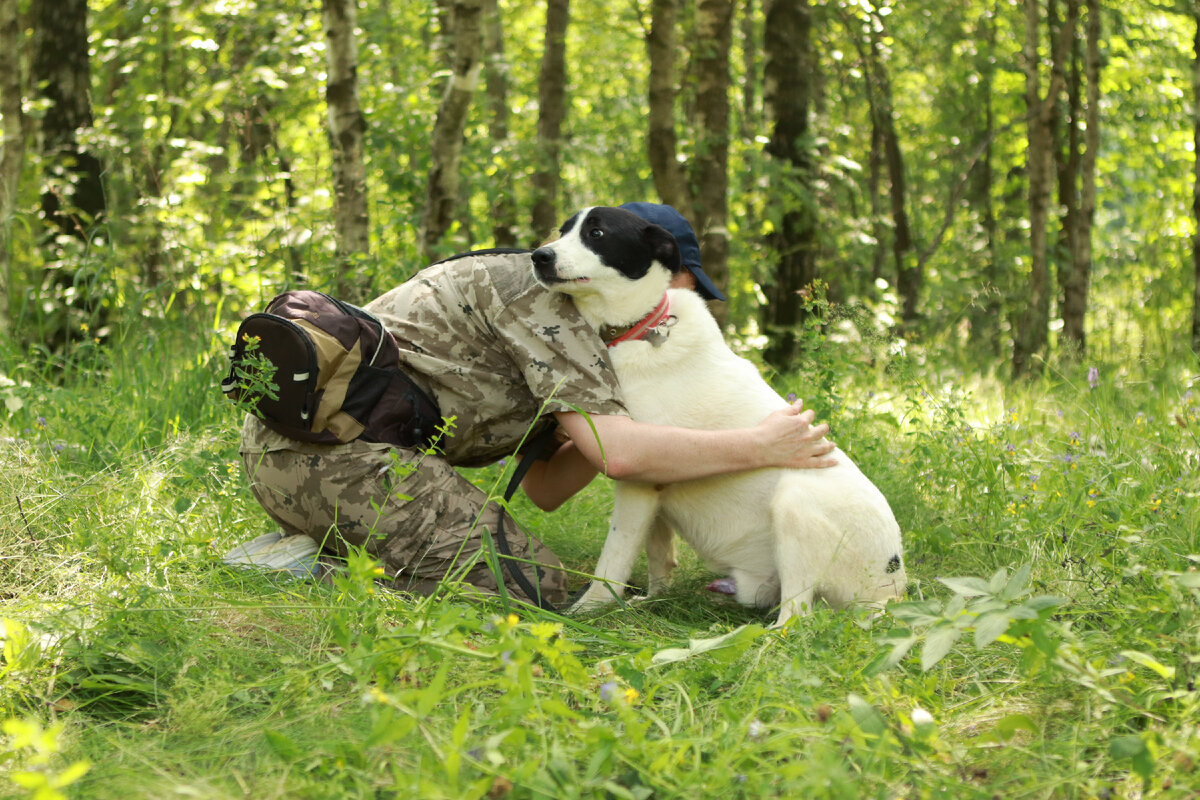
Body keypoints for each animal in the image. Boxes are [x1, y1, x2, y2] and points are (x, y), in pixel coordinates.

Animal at [530, 205, 902, 623]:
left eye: (596, 233)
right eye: (564, 230)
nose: (539, 256)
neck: (639, 328)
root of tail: (890, 590)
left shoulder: (639, 480)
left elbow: (614, 558)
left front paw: (589, 608)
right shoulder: (652, 486)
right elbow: (659, 553)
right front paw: (653, 600)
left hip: (795, 500)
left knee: (796, 617)